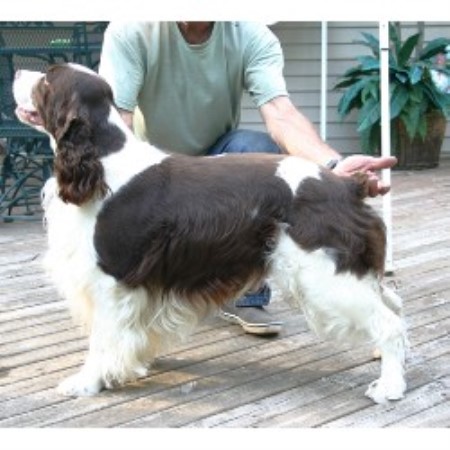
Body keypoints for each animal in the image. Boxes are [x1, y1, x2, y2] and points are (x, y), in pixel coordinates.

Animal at [13, 63, 408, 404]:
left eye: (47, 79)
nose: (16, 72)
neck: (103, 163)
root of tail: (346, 185)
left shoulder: (110, 278)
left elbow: (101, 338)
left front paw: (86, 382)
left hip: (324, 275)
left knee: (389, 321)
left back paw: (389, 386)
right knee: (393, 303)